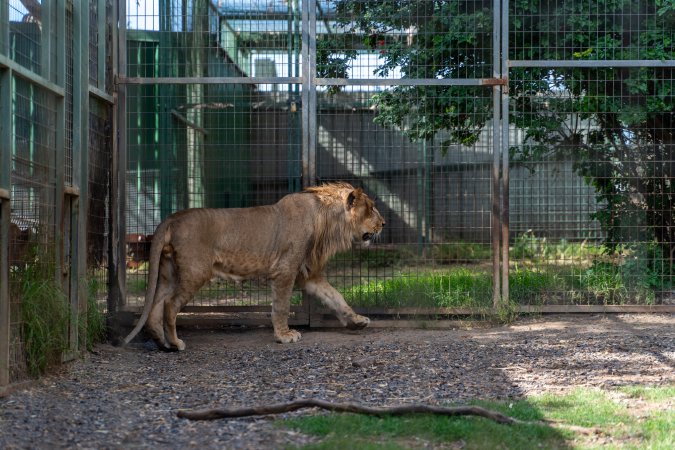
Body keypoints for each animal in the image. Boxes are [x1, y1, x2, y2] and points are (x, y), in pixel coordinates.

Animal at [121, 182, 384, 351]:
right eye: (371, 208)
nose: (383, 223)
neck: (327, 221)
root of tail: (172, 218)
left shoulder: (308, 274)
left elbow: (336, 296)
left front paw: (357, 320)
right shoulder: (285, 270)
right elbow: (281, 307)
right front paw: (284, 336)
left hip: (169, 272)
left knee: (155, 304)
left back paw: (161, 342)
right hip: (195, 272)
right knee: (169, 304)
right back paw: (176, 343)